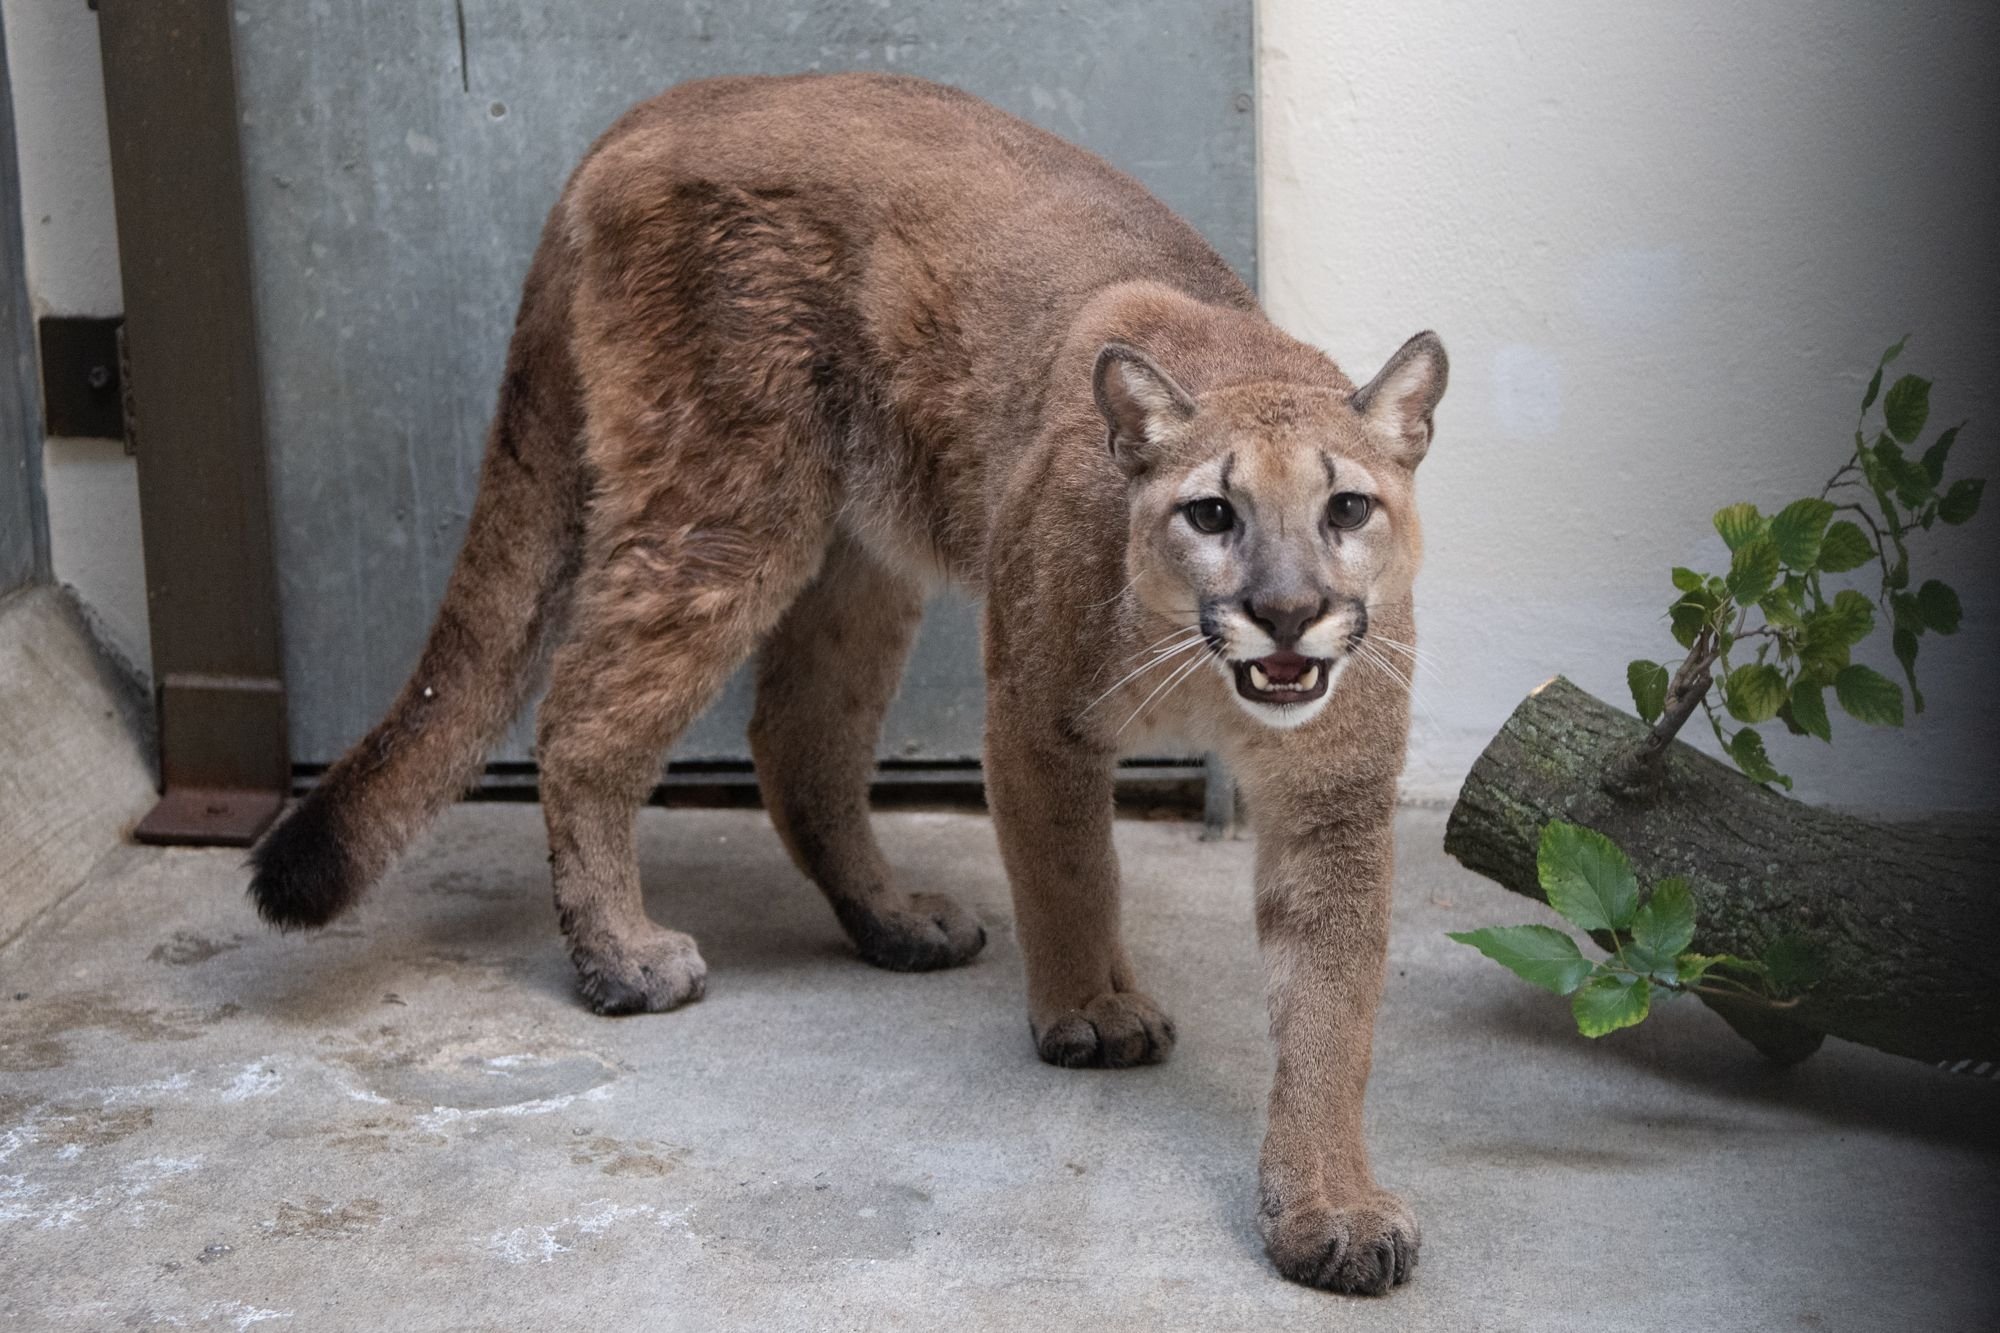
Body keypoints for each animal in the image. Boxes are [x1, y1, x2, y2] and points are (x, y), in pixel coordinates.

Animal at [250, 72, 1448, 1288]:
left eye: (1347, 507)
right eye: (1211, 512)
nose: (1286, 612)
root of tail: (670, 100)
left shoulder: (1333, 798)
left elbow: (1330, 1007)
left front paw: (1328, 1201)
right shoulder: (1037, 716)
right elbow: (1073, 874)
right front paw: (1093, 1007)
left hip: (862, 553)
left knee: (798, 738)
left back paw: (889, 919)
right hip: (726, 502)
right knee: (583, 714)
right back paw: (624, 957)